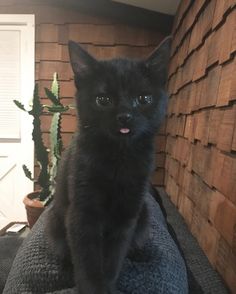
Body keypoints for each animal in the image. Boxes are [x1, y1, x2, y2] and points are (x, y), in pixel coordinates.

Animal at [46, 37, 171, 294]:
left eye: (144, 99)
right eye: (103, 100)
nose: (125, 116)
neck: (118, 158)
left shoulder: (127, 214)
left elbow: (114, 257)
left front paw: (109, 285)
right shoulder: (82, 214)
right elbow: (87, 261)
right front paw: (92, 287)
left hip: (143, 213)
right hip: (54, 220)